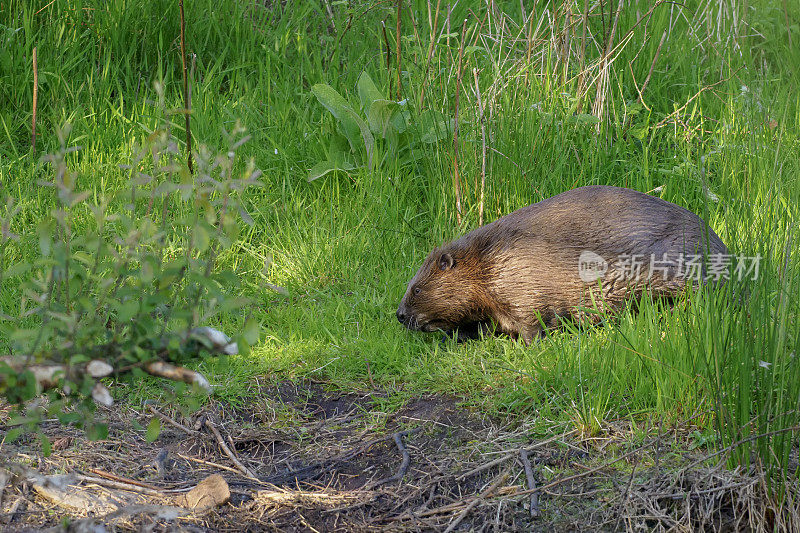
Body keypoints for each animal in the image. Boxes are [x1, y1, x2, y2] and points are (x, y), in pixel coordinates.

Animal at [396, 186, 728, 344]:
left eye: (416, 289)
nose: (399, 315)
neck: (490, 258)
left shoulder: (524, 283)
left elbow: (533, 321)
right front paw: (454, 336)